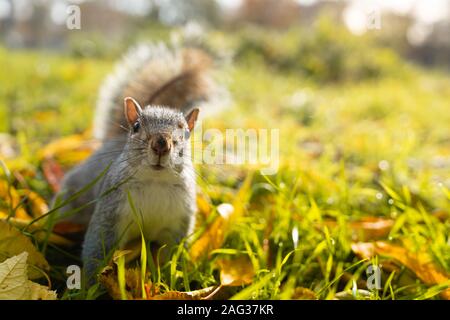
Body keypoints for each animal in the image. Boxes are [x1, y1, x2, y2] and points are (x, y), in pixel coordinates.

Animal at [54, 42, 220, 282]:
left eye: (187, 133)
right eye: (136, 126)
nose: (161, 144)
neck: (155, 182)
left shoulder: (178, 223)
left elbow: (173, 255)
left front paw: (172, 278)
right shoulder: (110, 214)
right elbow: (98, 247)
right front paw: (90, 283)